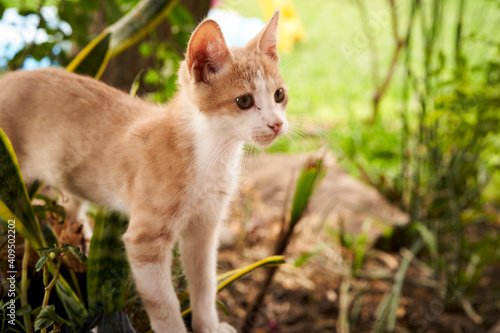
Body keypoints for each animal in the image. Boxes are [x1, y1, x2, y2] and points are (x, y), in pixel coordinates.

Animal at [0, 9, 288, 330]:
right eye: (244, 101)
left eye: (279, 95)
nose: (277, 124)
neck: (210, 154)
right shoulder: (144, 241)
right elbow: (164, 305)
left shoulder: (204, 228)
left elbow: (203, 284)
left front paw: (209, 326)